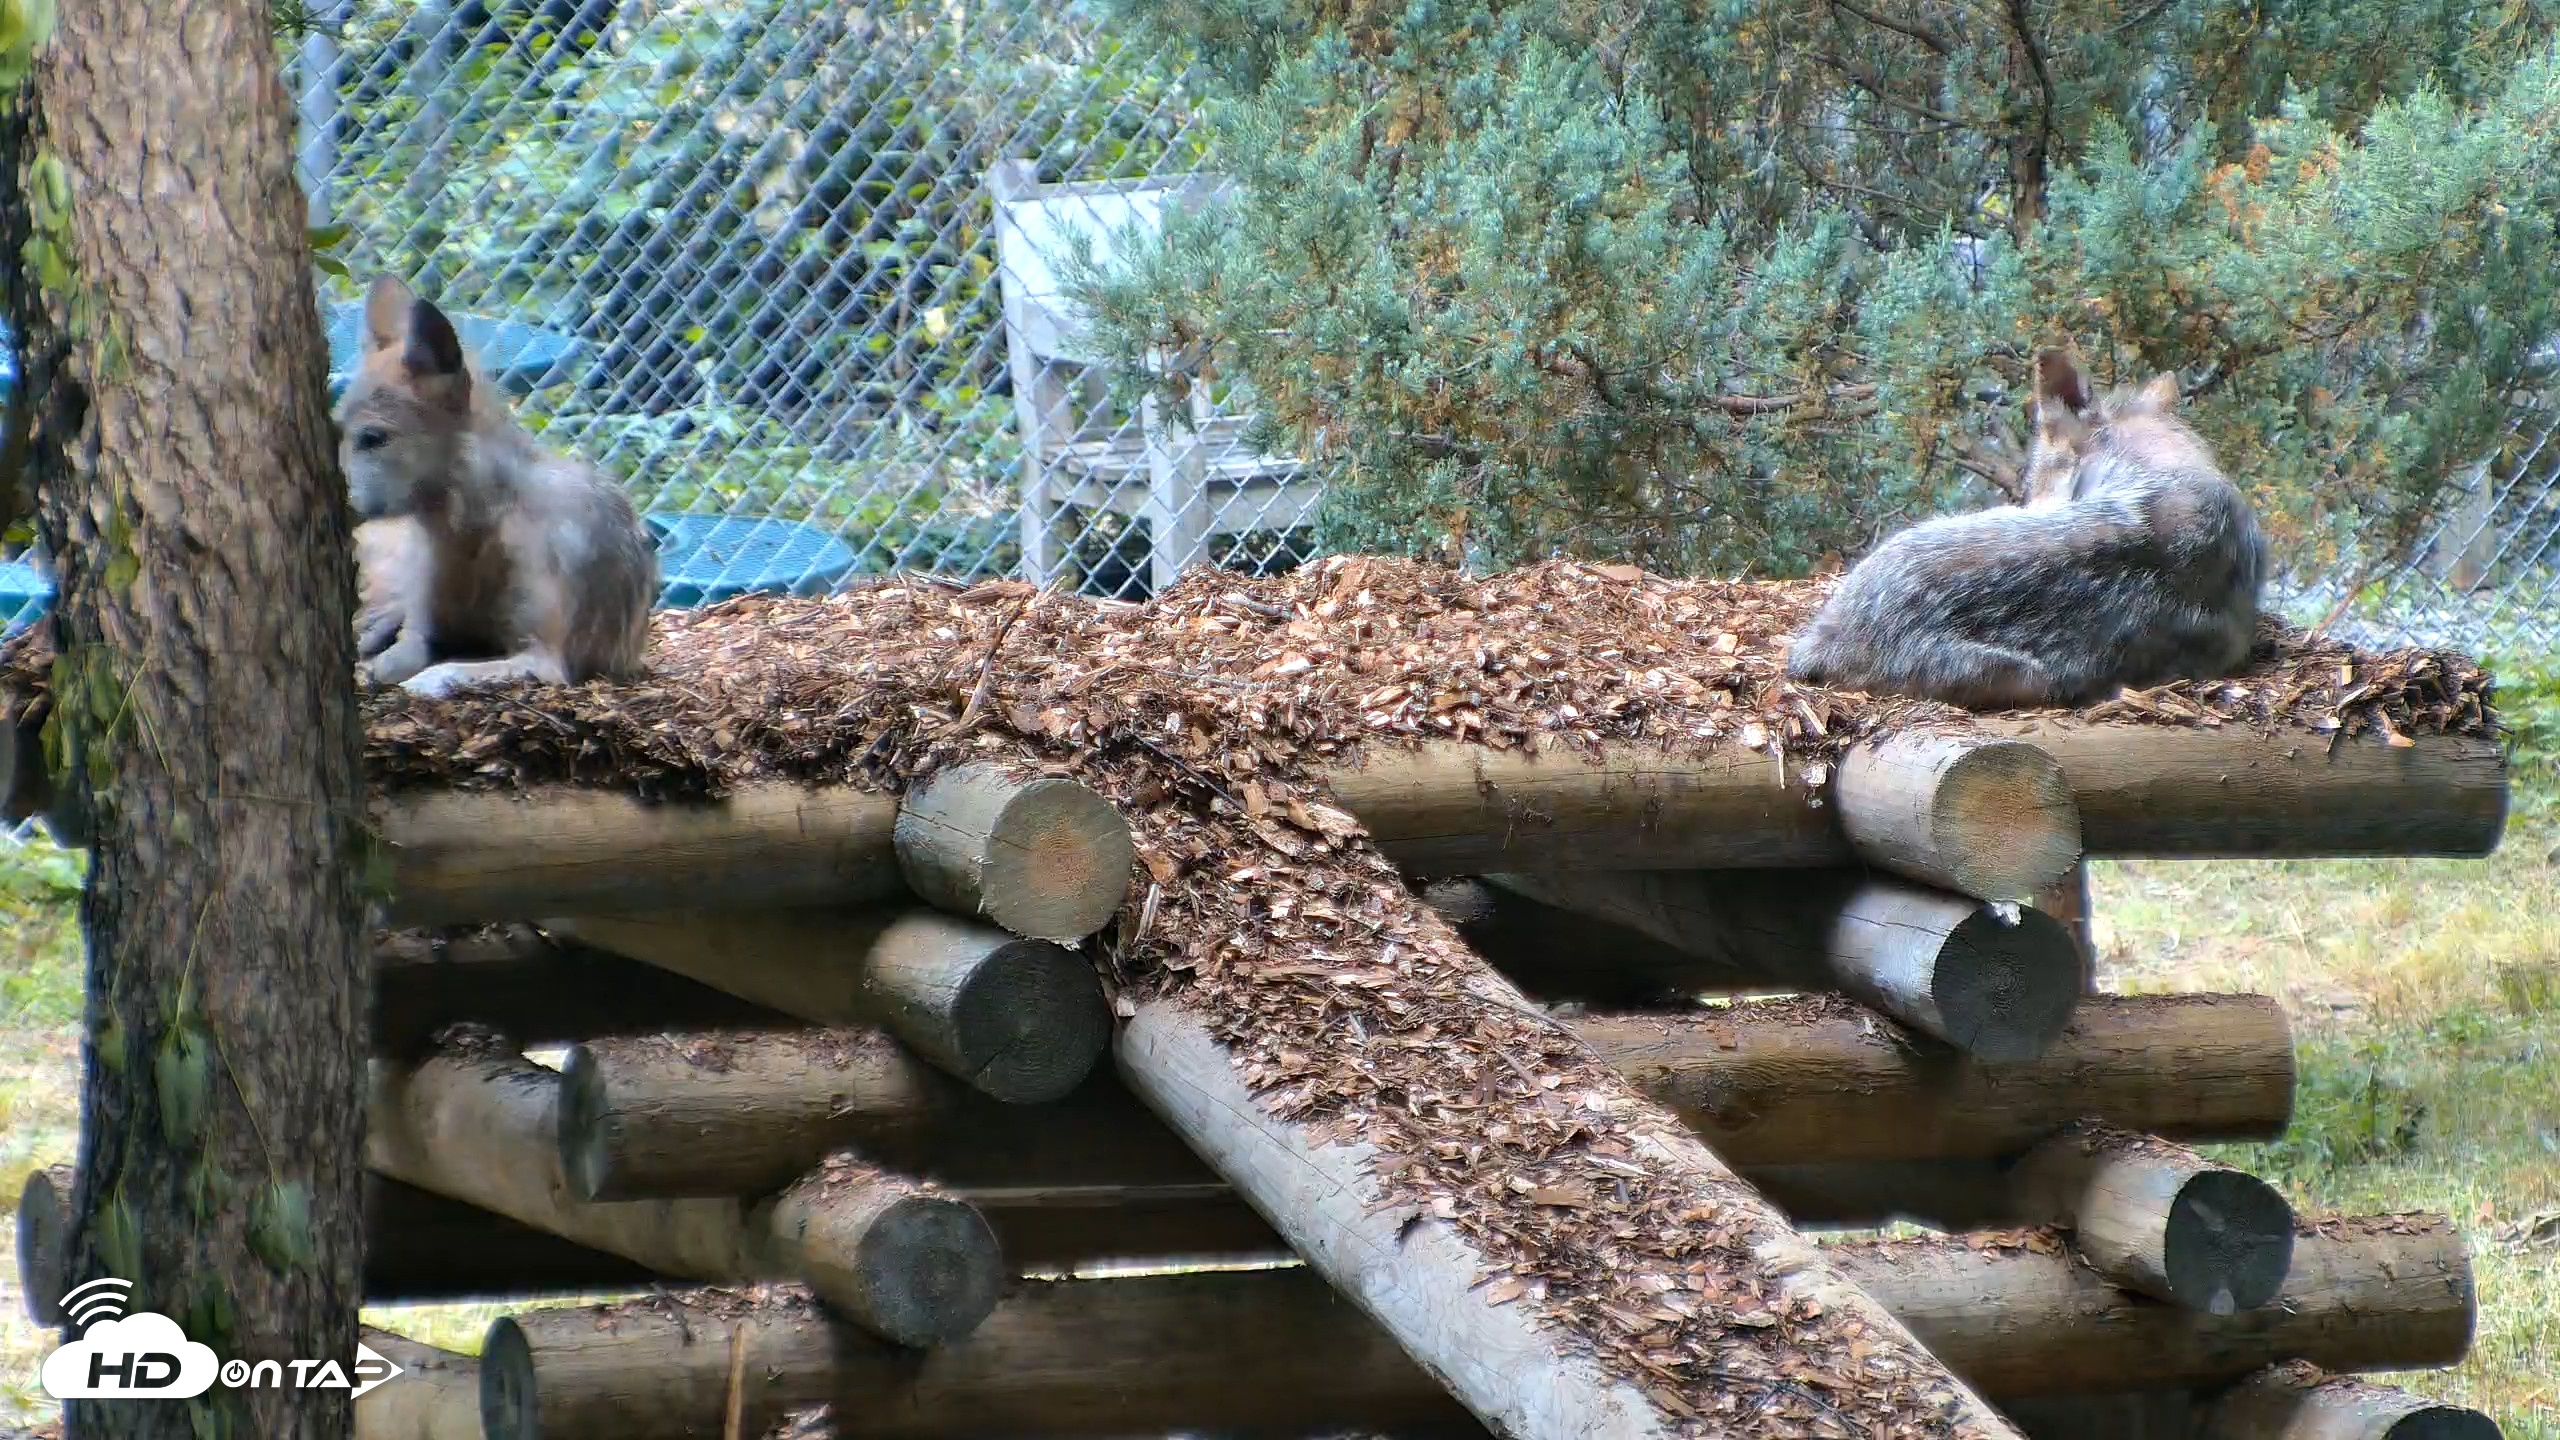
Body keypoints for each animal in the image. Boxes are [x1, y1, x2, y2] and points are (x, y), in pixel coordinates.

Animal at [340, 274, 657, 698]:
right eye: (337, 432)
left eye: (373, 438)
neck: (471, 531)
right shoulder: (423, 633)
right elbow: (388, 663)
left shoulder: (545, 657)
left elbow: (443, 672)